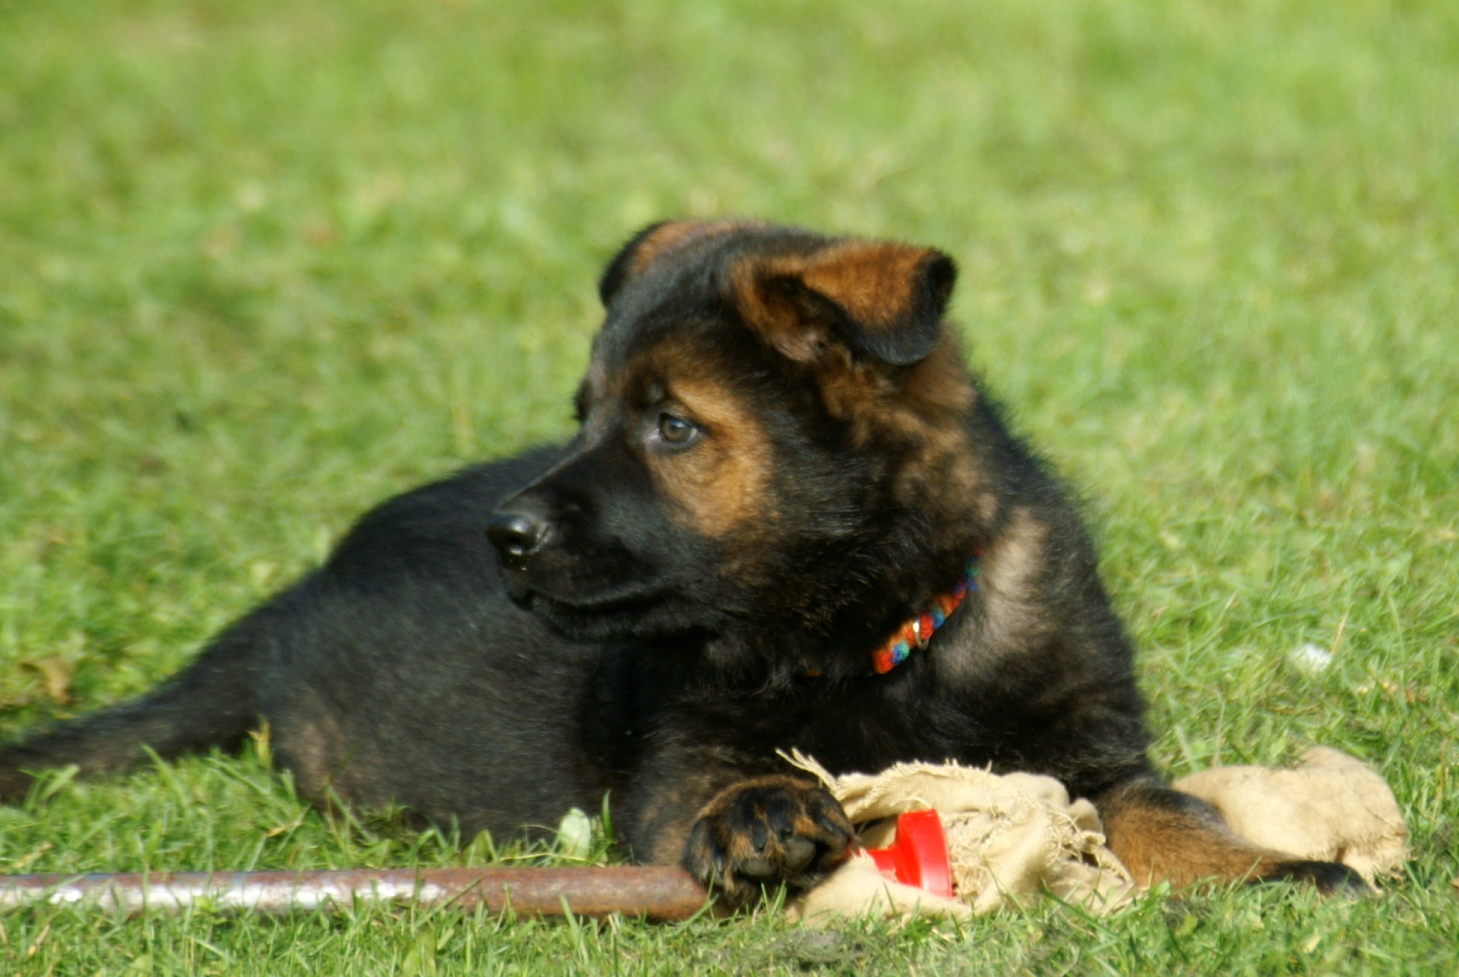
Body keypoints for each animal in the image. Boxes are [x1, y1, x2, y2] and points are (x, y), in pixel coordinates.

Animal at [0, 221, 1353, 904]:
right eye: (585, 413)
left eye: (672, 425)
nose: (508, 537)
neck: (875, 633)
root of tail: (291, 600)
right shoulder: (668, 757)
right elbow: (712, 780)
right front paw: (757, 808)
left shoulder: (1090, 752)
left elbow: (1166, 814)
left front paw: (1278, 870)